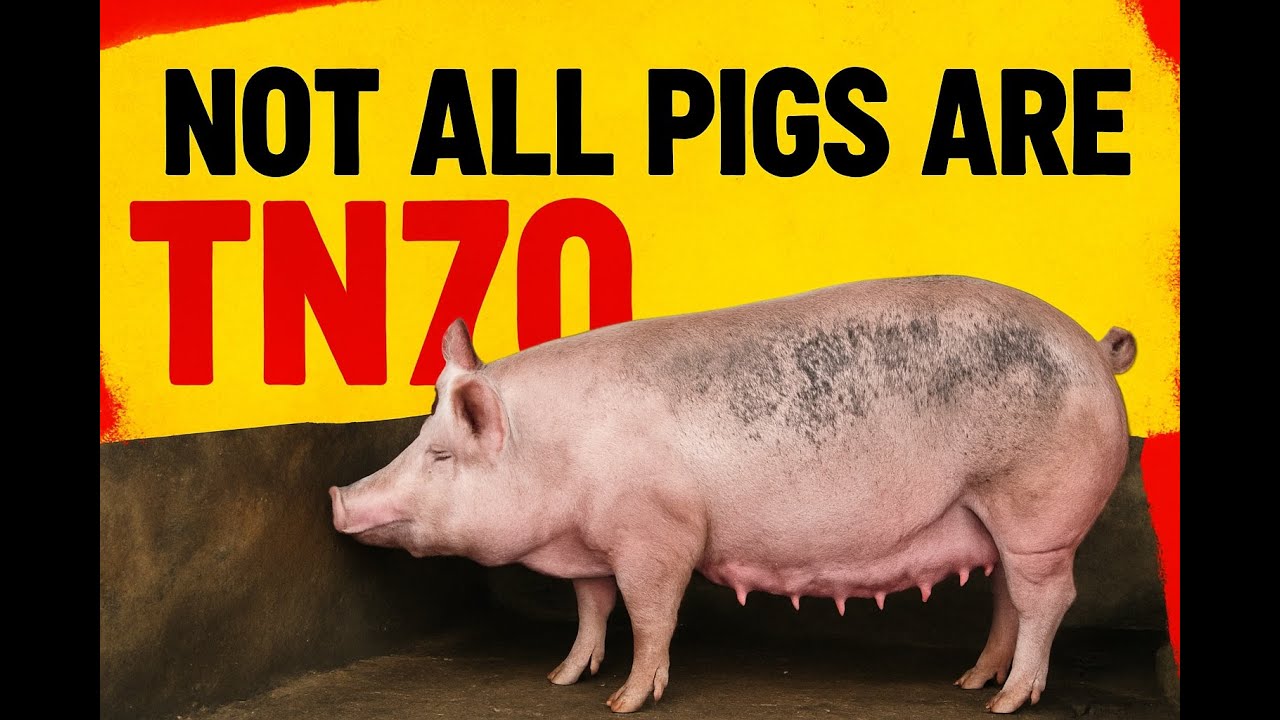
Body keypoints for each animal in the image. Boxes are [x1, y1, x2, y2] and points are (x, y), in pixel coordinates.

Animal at [329, 275, 1137, 714]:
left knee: (1047, 599)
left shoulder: (657, 535)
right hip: (992, 519)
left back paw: (1006, 702)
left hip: (1039, 510)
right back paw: (972, 682)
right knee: (1006, 598)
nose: (337, 495)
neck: (557, 456)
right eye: (418, 439)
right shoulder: (594, 546)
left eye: (440, 454)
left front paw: (624, 701)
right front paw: (561, 678)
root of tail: (1098, 351)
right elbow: (593, 609)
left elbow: (650, 614)